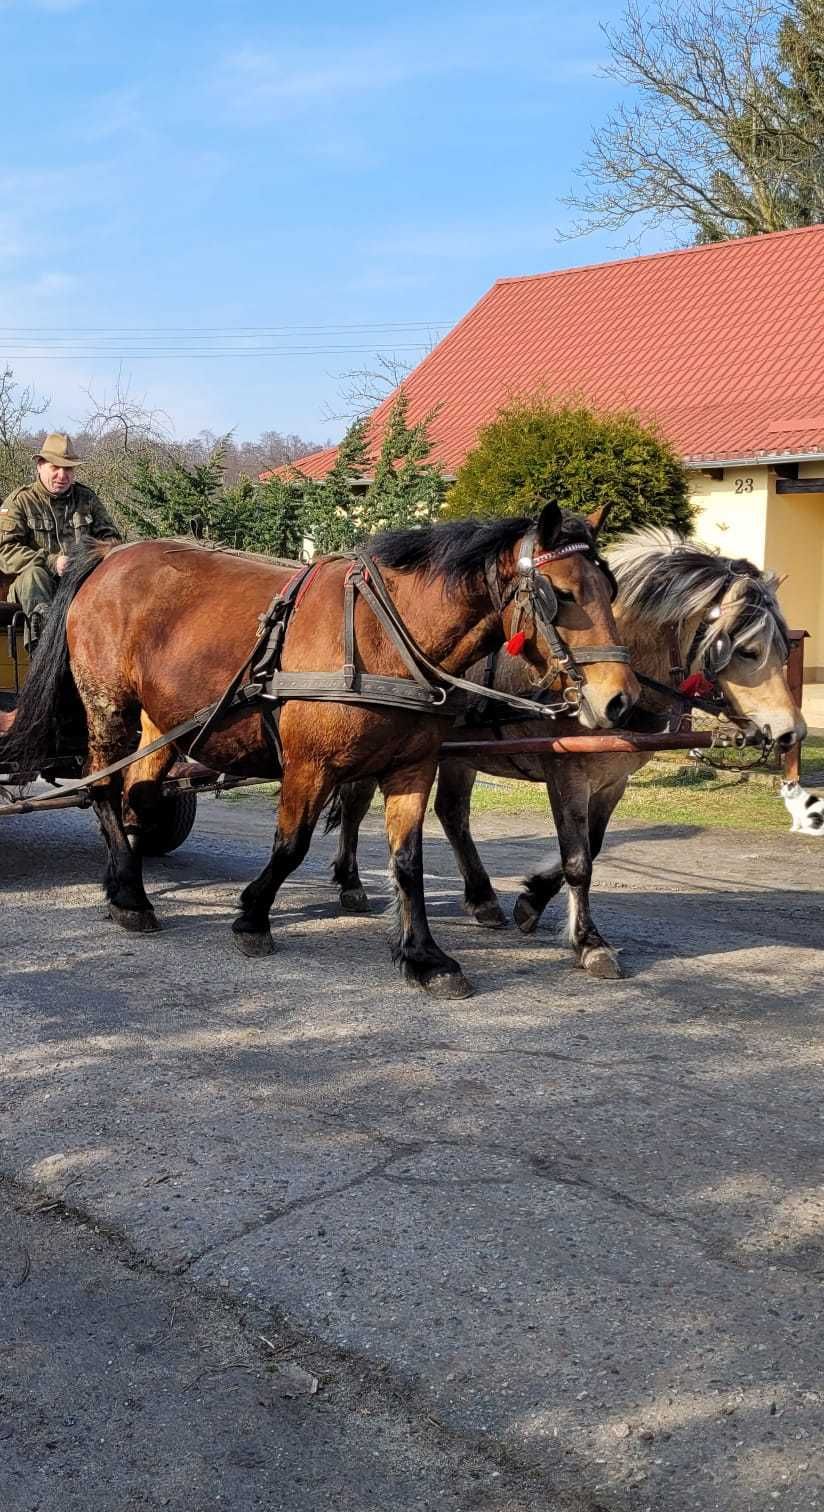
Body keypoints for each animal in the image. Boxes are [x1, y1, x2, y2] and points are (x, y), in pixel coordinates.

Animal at [1, 501, 635, 997]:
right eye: (561, 594)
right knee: (105, 788)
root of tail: (110, 556)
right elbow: (290, 846)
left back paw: (124, 877)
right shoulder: (309, 765)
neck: (384, 636)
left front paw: (423, 957)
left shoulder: (412, 768)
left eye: (610, 589)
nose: (619, 700)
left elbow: (408, 863)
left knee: (140, 791)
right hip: (108, 707)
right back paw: (130, 896)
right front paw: (252, 917)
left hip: (162, 721)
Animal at [328, 529, 804, 979]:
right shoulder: (566, 773)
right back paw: (351, 882)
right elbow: (577, 860)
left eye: (785, 647)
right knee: (356, 806)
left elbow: (592, 846)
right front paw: (589, 942)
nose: (790, 731)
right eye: (747, 650)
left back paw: (482, 898)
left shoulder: (613, 780)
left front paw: (533, 899)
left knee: (451, 813)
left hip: (458, 757)